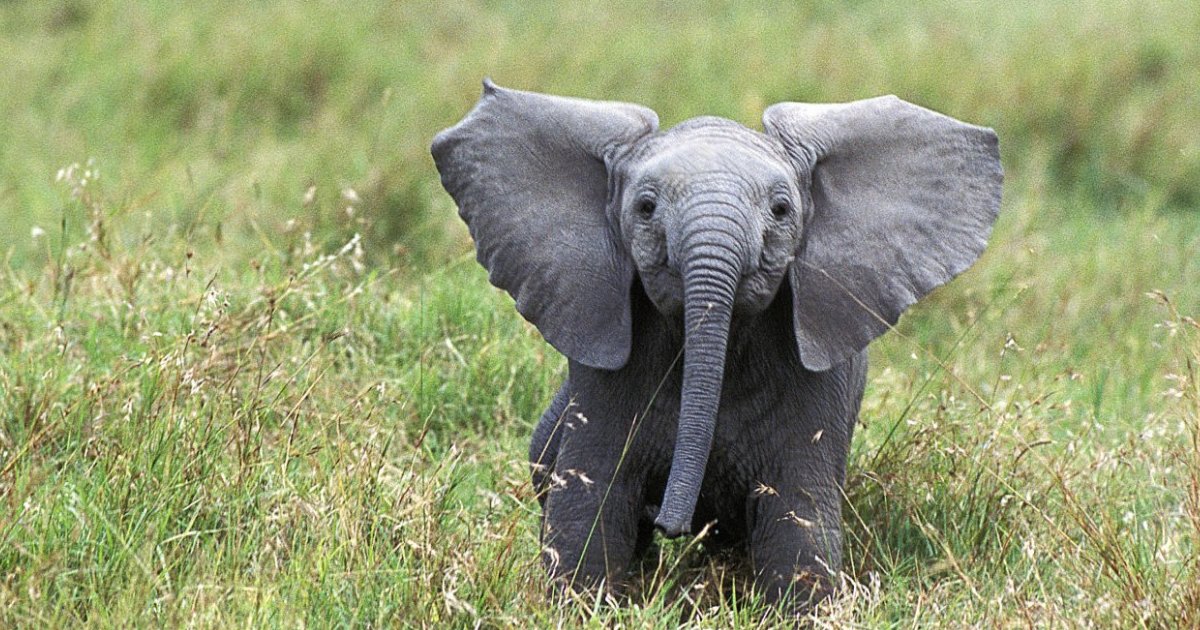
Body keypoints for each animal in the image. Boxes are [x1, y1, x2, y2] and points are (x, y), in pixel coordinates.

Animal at [431, 80, 1002, 612]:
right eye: (645, 207)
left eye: (781, 209)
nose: (671, 522)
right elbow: (592, 501)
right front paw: (585, 606)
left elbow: (797, 516)